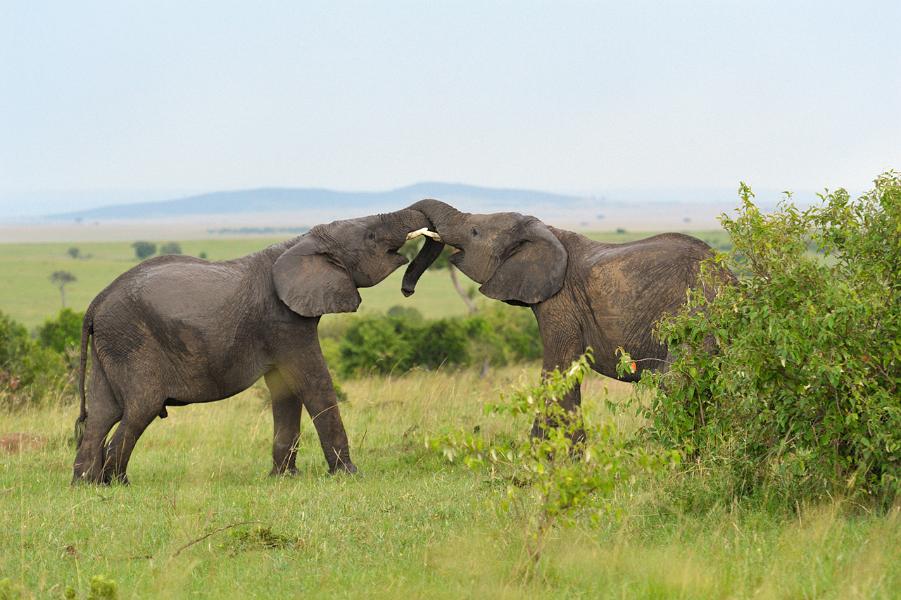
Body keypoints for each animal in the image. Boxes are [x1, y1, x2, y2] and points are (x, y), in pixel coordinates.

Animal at [73, 209, 436, 486]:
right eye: (371, 237)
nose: (408, 288)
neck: (303, 240)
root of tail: (96, 302)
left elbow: (286, 391)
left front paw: (283, 478)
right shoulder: (283, 321)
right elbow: (314, 383)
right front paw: (349, 475)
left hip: (112, 344)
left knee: (103, 414)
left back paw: (86, 485)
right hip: (132, 341)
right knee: (140, 408)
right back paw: (118, 483)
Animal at [400, 199, 724, 438]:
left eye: (476, 232)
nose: (406, 290)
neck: (547, 230)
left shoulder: (561, 300)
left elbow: (559, 366)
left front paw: (545, 458)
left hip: (697, 315)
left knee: (676, 381)